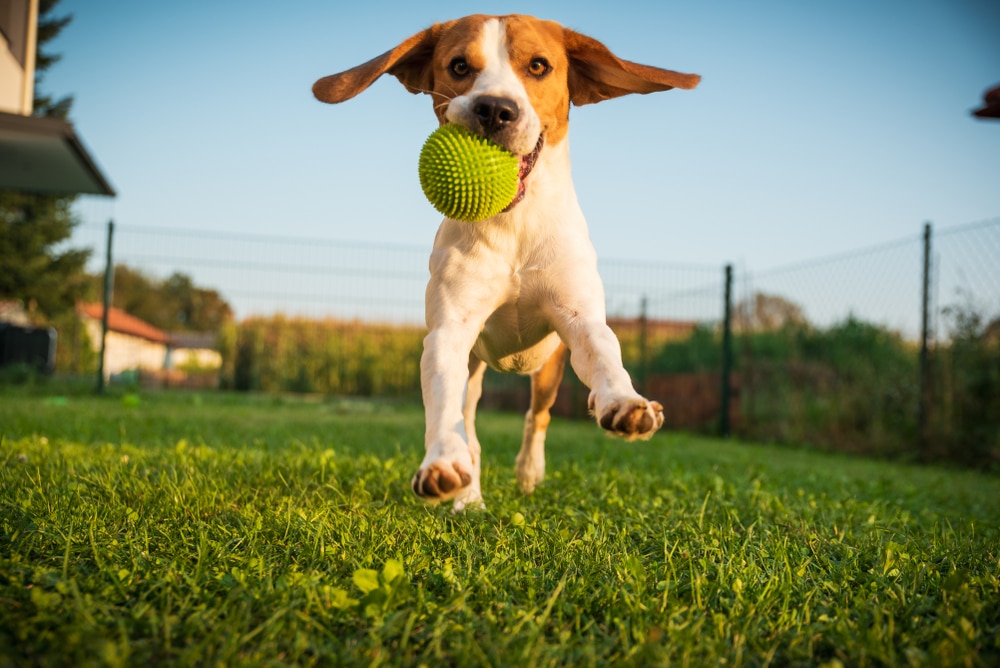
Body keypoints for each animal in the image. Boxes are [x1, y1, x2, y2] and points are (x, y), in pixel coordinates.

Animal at [316, 14, 700, 512]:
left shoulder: (578, 318)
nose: (495, 109)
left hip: (550, 368)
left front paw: (624, 403)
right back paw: (469, 495)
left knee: (538, 416)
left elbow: (604, 356)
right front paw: (443, 465)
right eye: (459, 66)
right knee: (470, 424)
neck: (513, 224)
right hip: (476, 368)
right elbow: (445, 406)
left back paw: (530, 472)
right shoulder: (450, 332)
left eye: (538, 66)